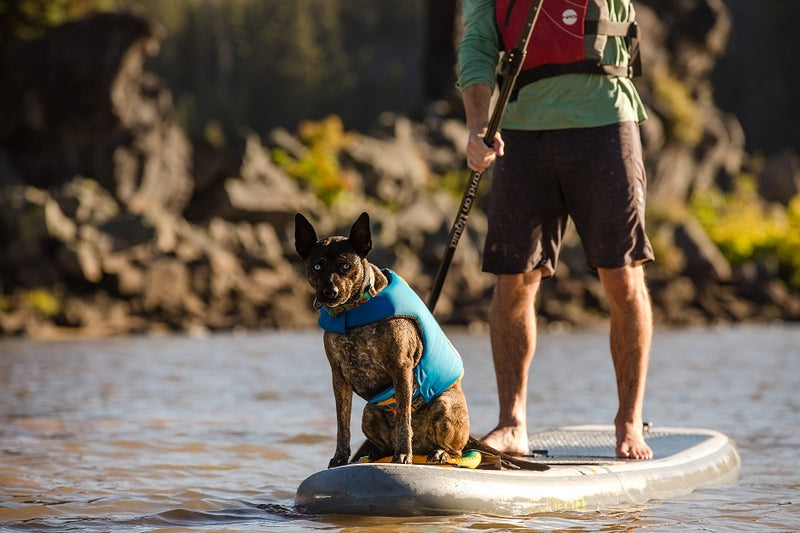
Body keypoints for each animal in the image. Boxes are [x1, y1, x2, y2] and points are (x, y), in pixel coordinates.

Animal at [292, 210, 468, 468]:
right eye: (316, 266)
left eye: (346, 266)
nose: (329, 292)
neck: (353, 311)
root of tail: (422, 447)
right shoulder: (338, 376)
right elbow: (342, 423)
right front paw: (340, 457)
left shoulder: (401, 368)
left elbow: (403, 417)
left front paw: (403, 455)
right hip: (369, 412)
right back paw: (375, 453)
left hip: (444, 405)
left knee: (457, 451)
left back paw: (439, 453)